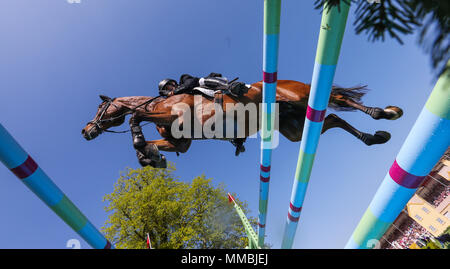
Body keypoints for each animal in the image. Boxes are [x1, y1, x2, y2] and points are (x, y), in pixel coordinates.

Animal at [82, 80, 402, 168]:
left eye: (99, 107)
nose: (86, 131)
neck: (162, 100)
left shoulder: (177, 117)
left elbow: (136, 117)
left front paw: (142, 146)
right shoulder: (181, 143)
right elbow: (158, 144)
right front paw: (150, 156)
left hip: (299, 96)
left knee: (338, 98)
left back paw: (384, 113)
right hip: (295, 127)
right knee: (333, 118)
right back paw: (375, 137)